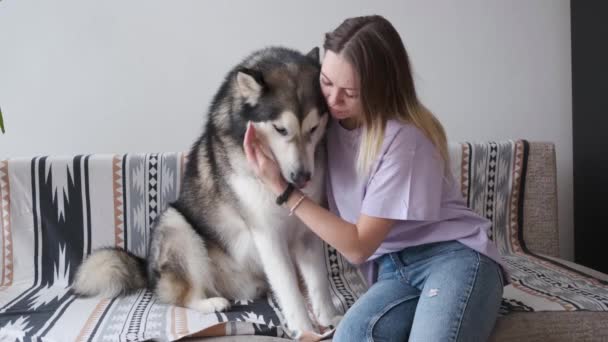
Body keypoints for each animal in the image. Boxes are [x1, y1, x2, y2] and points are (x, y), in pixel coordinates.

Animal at [71, 46, 342, 334]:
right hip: (175, 225)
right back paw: (210, 302)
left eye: (314, 128)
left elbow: (319, 284)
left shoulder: (308, 232)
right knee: (182, 296)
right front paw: (306, 330)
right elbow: (290, 290)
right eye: (281, 129)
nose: (302, 177)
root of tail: (146, 267)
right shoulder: (267, 233)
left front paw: (328, 318)